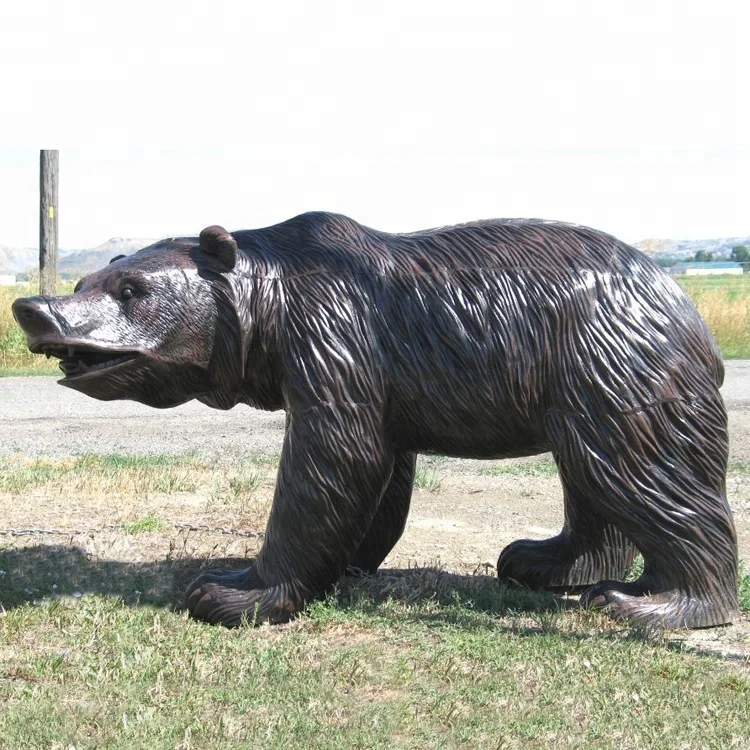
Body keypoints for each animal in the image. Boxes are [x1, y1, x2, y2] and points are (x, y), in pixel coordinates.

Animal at [12, 212, 738, 629]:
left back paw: (659, 603)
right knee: (595, 478)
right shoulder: (378, 377)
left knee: (639, 471)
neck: (269, 310)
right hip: (581, 381)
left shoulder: (336, 337)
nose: (35, 308)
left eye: (131, 290)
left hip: (609, 360)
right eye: (84, 283)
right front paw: (349, 563)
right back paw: (548, 561)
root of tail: (686, 305)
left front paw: (232, 590)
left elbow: (330, 461)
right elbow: (379, 473)